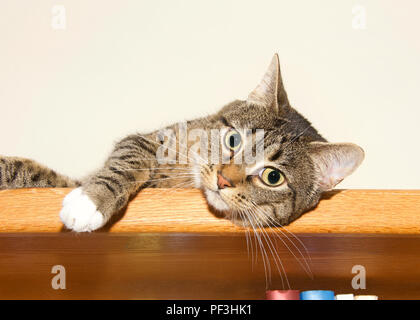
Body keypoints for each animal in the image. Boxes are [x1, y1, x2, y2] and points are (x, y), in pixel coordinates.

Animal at [0, 53, 364, 231]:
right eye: (233, 139)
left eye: (273, 177)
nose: (223, 179)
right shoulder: (152, 140)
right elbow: (127, 160)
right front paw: (91, 200)